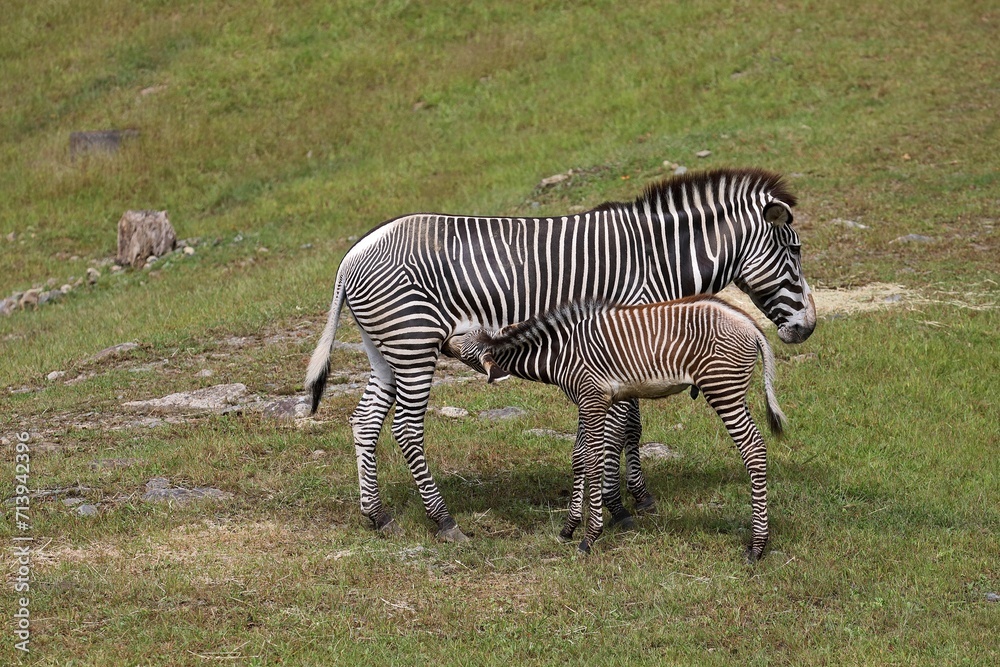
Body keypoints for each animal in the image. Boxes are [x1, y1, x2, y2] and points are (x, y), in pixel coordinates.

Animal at [452, 294, 788, 560]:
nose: (445, 338)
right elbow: (578, 457)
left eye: (462, 347)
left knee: (753, 449)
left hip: (722, 389)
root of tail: (750, 323)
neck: (560, 352)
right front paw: (569, 528)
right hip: (731, 390)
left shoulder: (593, 399)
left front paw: (590, 537)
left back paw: (757, 546)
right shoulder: (586, 401)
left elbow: (592, 460)